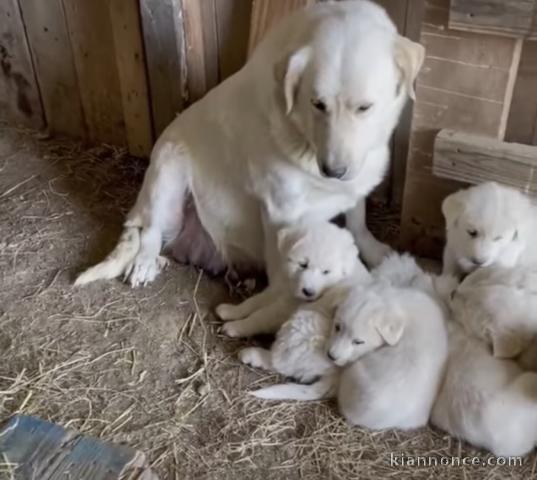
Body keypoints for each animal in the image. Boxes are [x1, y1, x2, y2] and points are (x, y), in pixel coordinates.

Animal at [74, 0, 422, 286]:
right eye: (317, 104)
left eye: (364, 107)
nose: (333, 171)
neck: (305, 139)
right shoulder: (283, 211)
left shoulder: (354, 184)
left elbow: (357, 221)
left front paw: (375, 250)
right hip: (167, 170)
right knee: (149, 231)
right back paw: (145, 263)